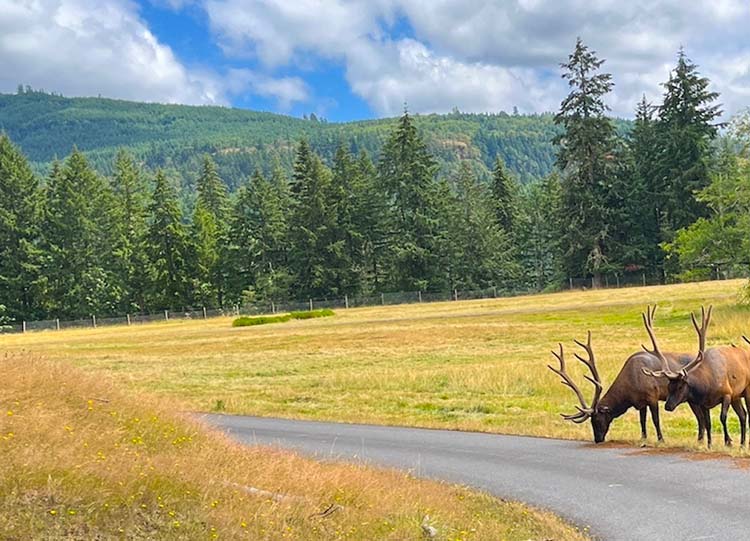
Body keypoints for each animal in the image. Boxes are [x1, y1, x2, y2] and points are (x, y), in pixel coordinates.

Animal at [548, 306, 705, 444]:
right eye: (591, 422)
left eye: (597, 419)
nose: (598, 439)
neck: (629, 389)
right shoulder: (640, 403)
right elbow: (642, 421)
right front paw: (643, 439)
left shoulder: (652, 397)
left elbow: (655, 420)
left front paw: (661, 440)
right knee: (700, 417)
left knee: (700, 417)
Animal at [641, 305, 750, 447]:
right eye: (669, 386)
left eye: (680, 387)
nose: (668, 406)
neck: (707, 385)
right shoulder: (705, 403)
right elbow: (708, 423)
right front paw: (709, 444)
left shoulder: (727, 393)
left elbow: (722, 417)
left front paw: (728, 442)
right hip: (736, 396)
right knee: (743, 415)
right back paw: (742, 444)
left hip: (746, 390)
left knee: (747, 413)